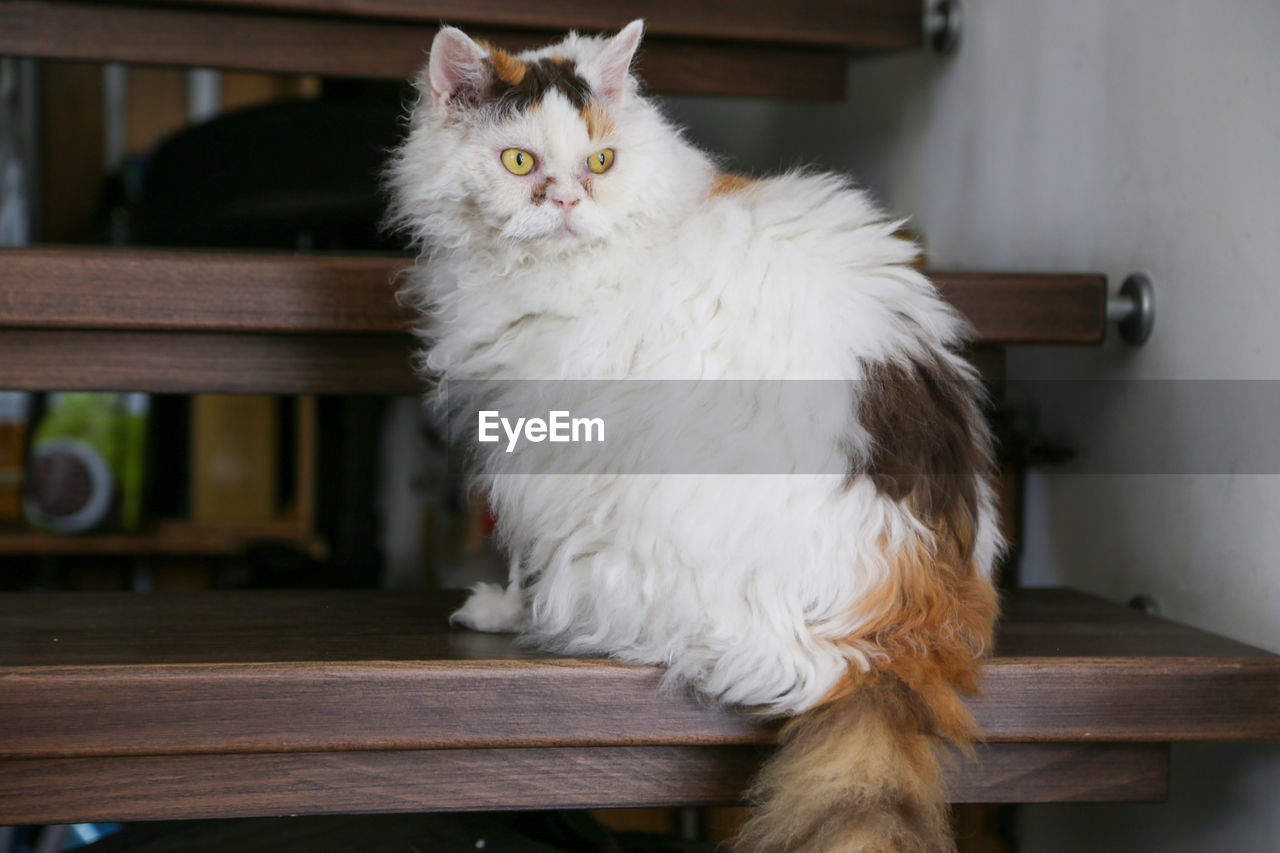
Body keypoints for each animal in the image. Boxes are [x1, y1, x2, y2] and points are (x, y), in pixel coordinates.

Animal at [384, 19, 1003, 850]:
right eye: (520, 161)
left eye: (601, 161)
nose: (570, 199)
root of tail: (907, 628)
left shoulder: (548, 441)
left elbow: (525, 558)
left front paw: (501, 612)